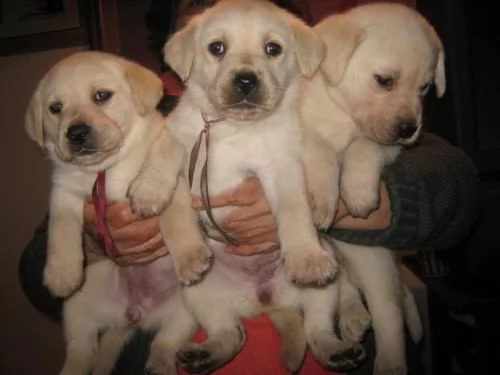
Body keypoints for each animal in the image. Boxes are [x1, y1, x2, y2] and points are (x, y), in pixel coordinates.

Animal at [24, 50, 209, 375]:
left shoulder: (171, 177)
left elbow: (174, 217)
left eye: (102, 96)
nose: (76, 133)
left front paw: (188, 256)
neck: (107, 169)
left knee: (164, 343)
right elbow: (61, 231)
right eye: (55, 108)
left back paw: (160, 365)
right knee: (83, 350)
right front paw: (61, 272)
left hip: (185, 311)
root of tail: (133, 314)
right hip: (78, 308)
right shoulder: (63, 193)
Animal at [162, 0, 366, 374]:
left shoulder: (281, 167)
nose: (246, 81)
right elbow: (174, 214)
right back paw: (203, 354)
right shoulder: (182, 163)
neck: (236, 129)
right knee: (230, 332)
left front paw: (305, 256)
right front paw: (188, 256)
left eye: (273, 48)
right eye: (216, 48)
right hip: (199, 295)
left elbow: (295, 212)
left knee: (317, 330)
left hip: (324, 290)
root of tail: (265, 303)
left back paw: (339, 351)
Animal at [298, 3, 444, 375]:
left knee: (388, 313)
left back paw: (387, 358)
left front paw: (359, 193)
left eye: (425, 87)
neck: (341, 114)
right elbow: (318, 149)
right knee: (348, 288)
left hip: (372, 257)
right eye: (384, 80)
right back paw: (353, 317)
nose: (410, 128)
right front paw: (321, 200)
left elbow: (364, 146)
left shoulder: (388, 148)